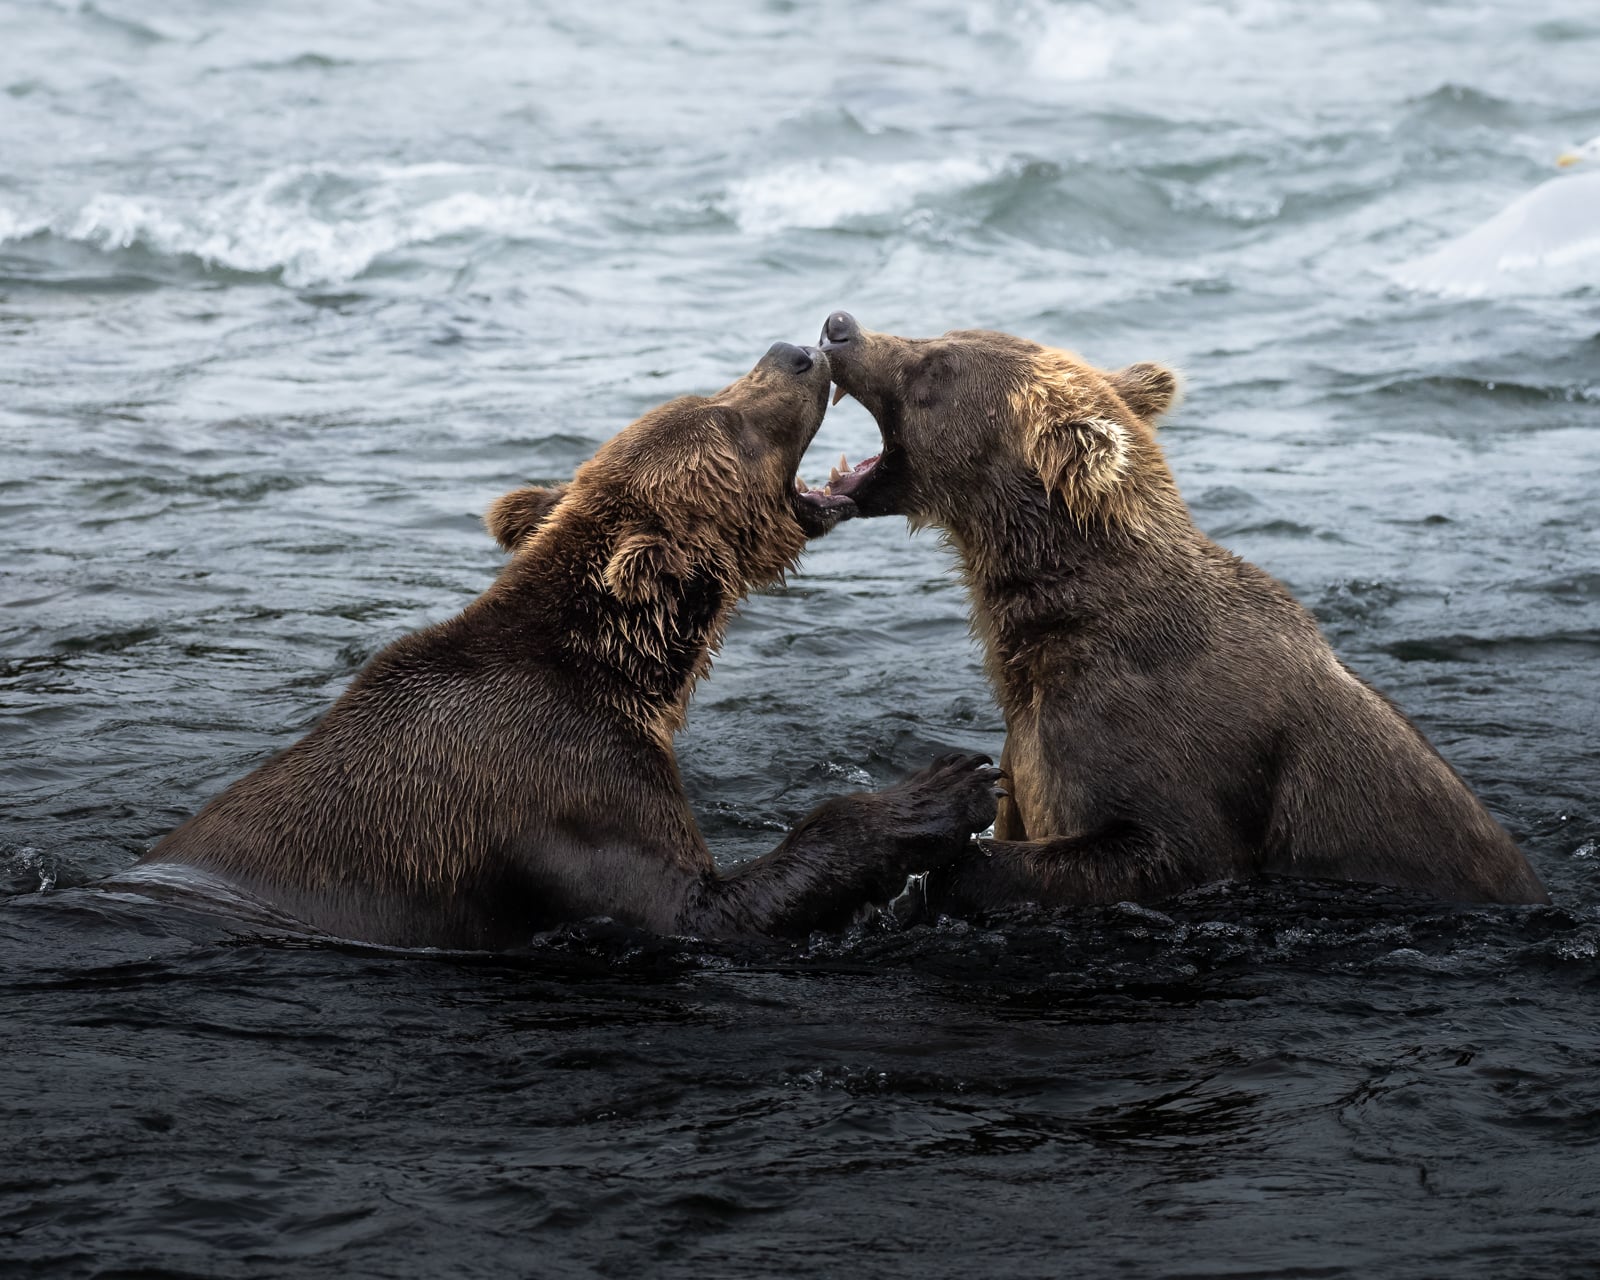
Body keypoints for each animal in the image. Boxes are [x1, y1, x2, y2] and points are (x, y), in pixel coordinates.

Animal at [119, 341, 1001, 949]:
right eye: (730, 419)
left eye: (717, 390)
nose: (797, 351)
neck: (621, 673)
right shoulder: (564, 790)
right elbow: (699, 908)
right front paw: (945, 788)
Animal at [811, 311, 1548, 911]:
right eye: (943, 333)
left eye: (937, 366)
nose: (840, 327)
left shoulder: (1164, 743)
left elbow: (1158, 849)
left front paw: (935, 873)